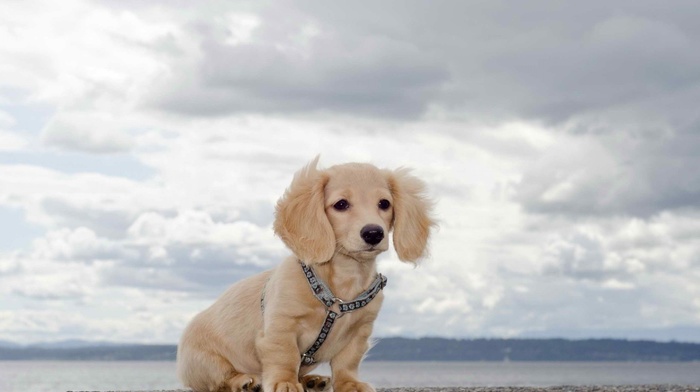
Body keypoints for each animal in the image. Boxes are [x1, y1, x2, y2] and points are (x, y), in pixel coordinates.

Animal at [176, 158, 432, 392]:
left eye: (384, 203)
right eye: (341, 204)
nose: (373, 233)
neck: (340, 287)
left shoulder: (360, 331)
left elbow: (347, 362)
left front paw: (349, 383)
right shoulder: (281, 326)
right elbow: (285, 356)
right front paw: (285, 382)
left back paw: (312, 380)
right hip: (206, 362)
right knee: (220, 380)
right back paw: (244, 381)